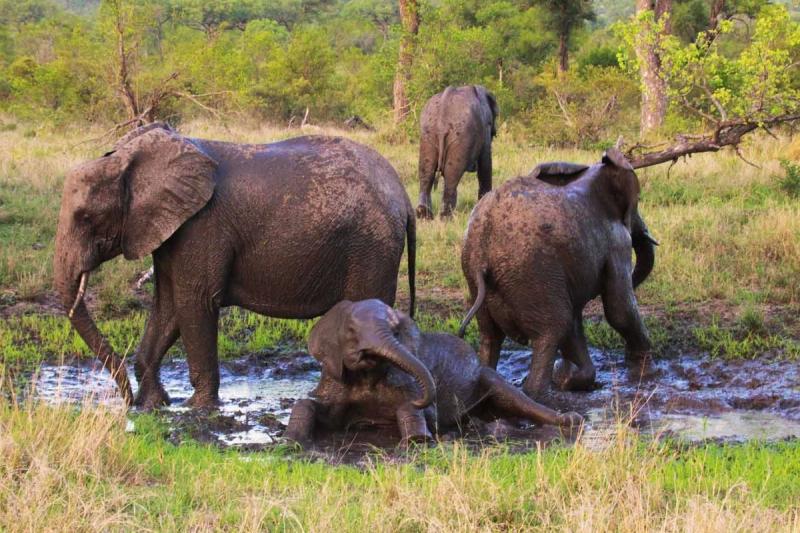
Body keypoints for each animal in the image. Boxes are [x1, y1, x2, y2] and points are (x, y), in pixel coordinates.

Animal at [53, 123, 416, 409]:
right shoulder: (172, 229)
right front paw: (155, 405)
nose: (126, 401)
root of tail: (403, 196)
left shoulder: (202, 226)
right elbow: (168, 307)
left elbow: (194, 302)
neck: (127, 160)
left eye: (85, 217)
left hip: (372, 247)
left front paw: (197, 408)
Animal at [284, 299, 582, 447]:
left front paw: (417, 439)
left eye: (395, 332)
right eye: (351, 332)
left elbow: (419, 411)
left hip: (487, 377)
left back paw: (570, 421)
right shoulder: (335, 377)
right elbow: (312, 406)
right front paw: (293, 440)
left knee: (514, 397)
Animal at [416, 85, 499, 219]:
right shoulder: (485, 127)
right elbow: (485, 164)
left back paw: (423, 215)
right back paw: (446, 217)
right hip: (460, 135)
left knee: (426, 171)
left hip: (427, 133)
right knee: (452, 174)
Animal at [459, 148, 658, 400]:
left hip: (481, 278)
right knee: (553, 329)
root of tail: (482, 251)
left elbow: (576, 319)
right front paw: (645, 372)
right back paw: (542, 397)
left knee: (490, 337)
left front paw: (567, 378)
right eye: (638, 201)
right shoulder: (617, 242)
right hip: (531, 273)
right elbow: (619, 308)